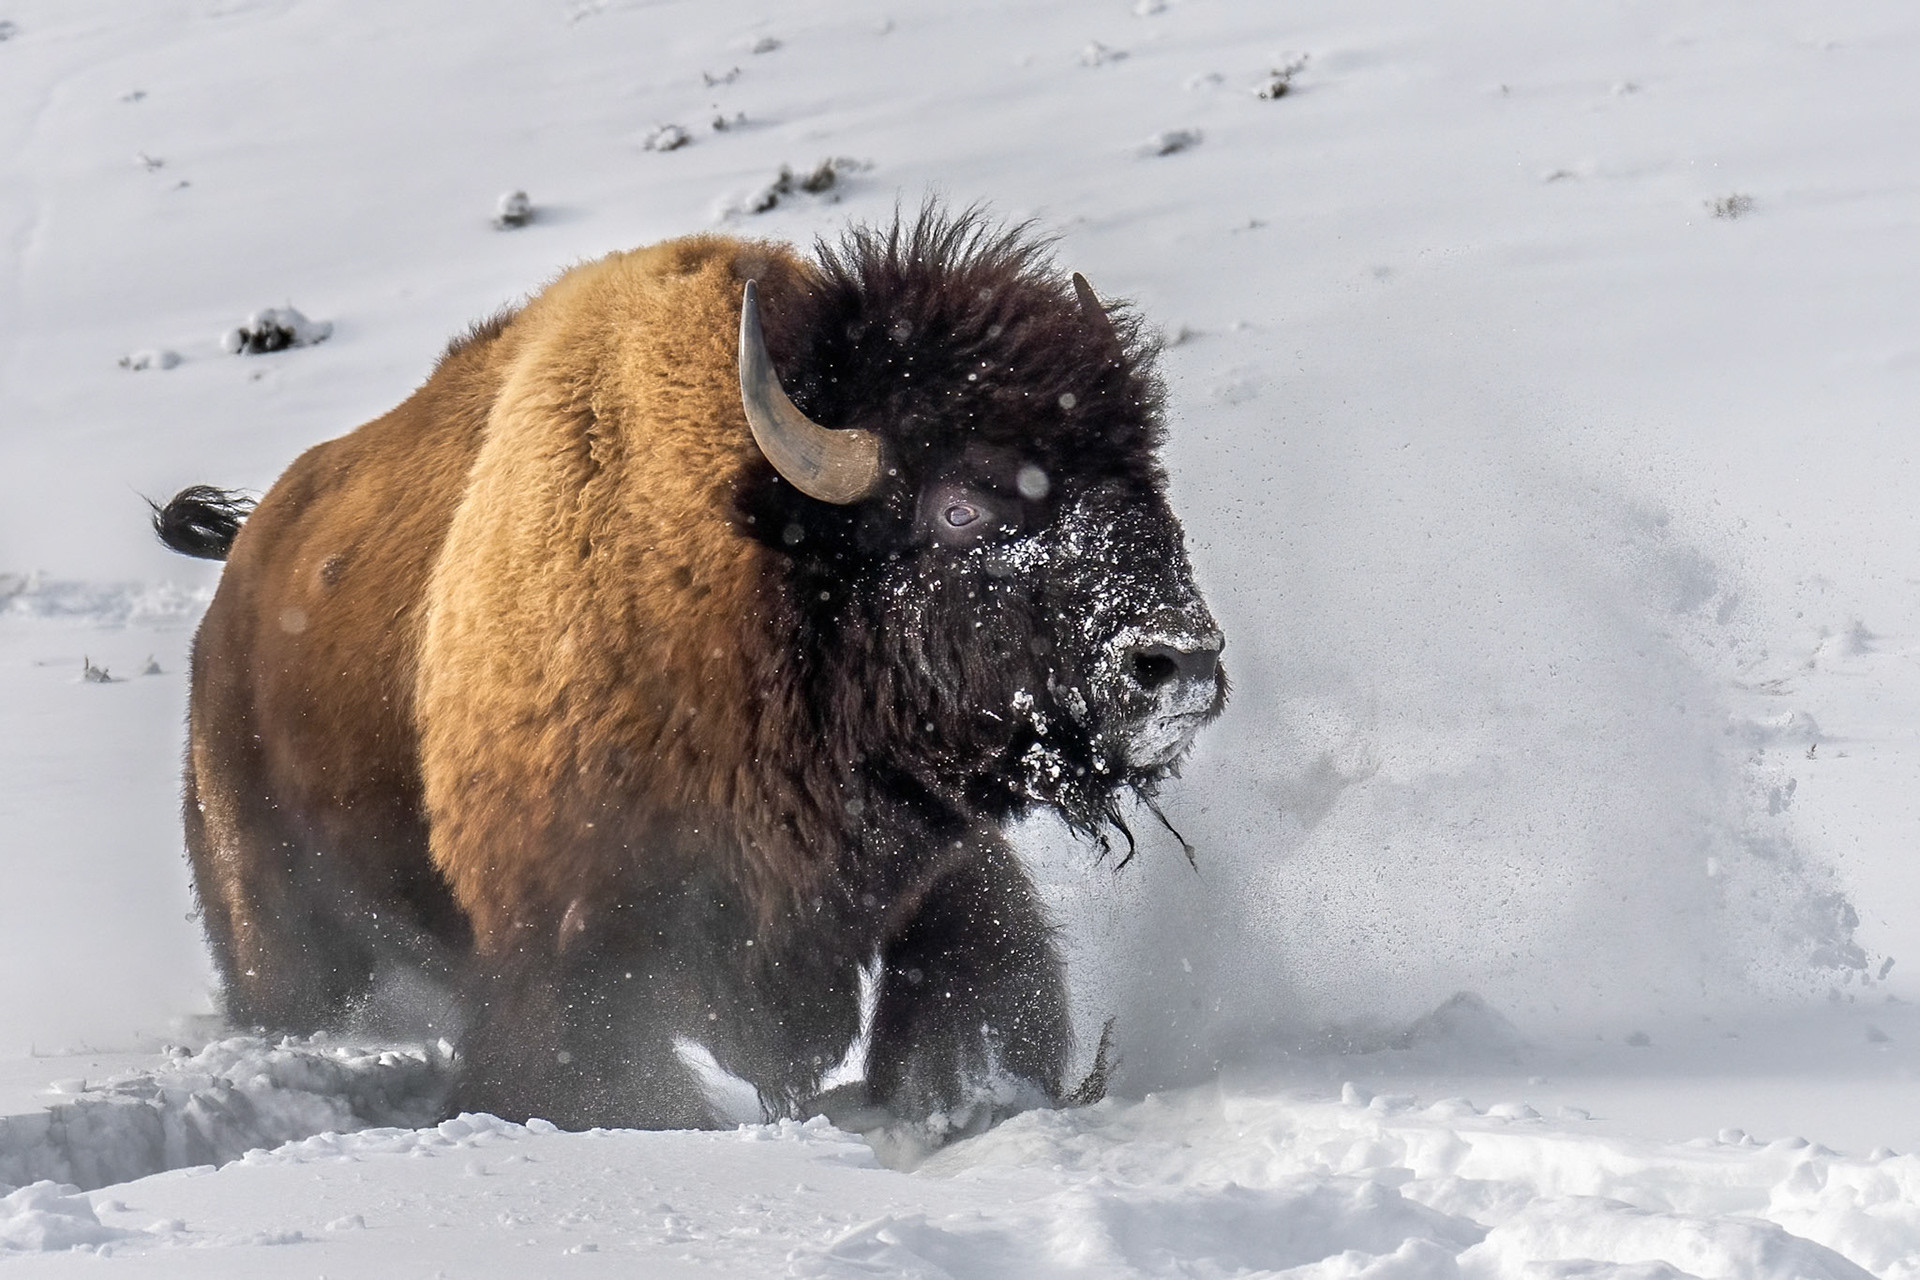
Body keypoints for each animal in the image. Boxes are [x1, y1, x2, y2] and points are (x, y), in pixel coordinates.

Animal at [153, 209, 1226, 1133]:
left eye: (1142, 476)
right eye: (961, 505)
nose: (1180, 660)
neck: (756, 571)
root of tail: (238, 570)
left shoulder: (934, 868)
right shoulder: (571, 955)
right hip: (281, 939)